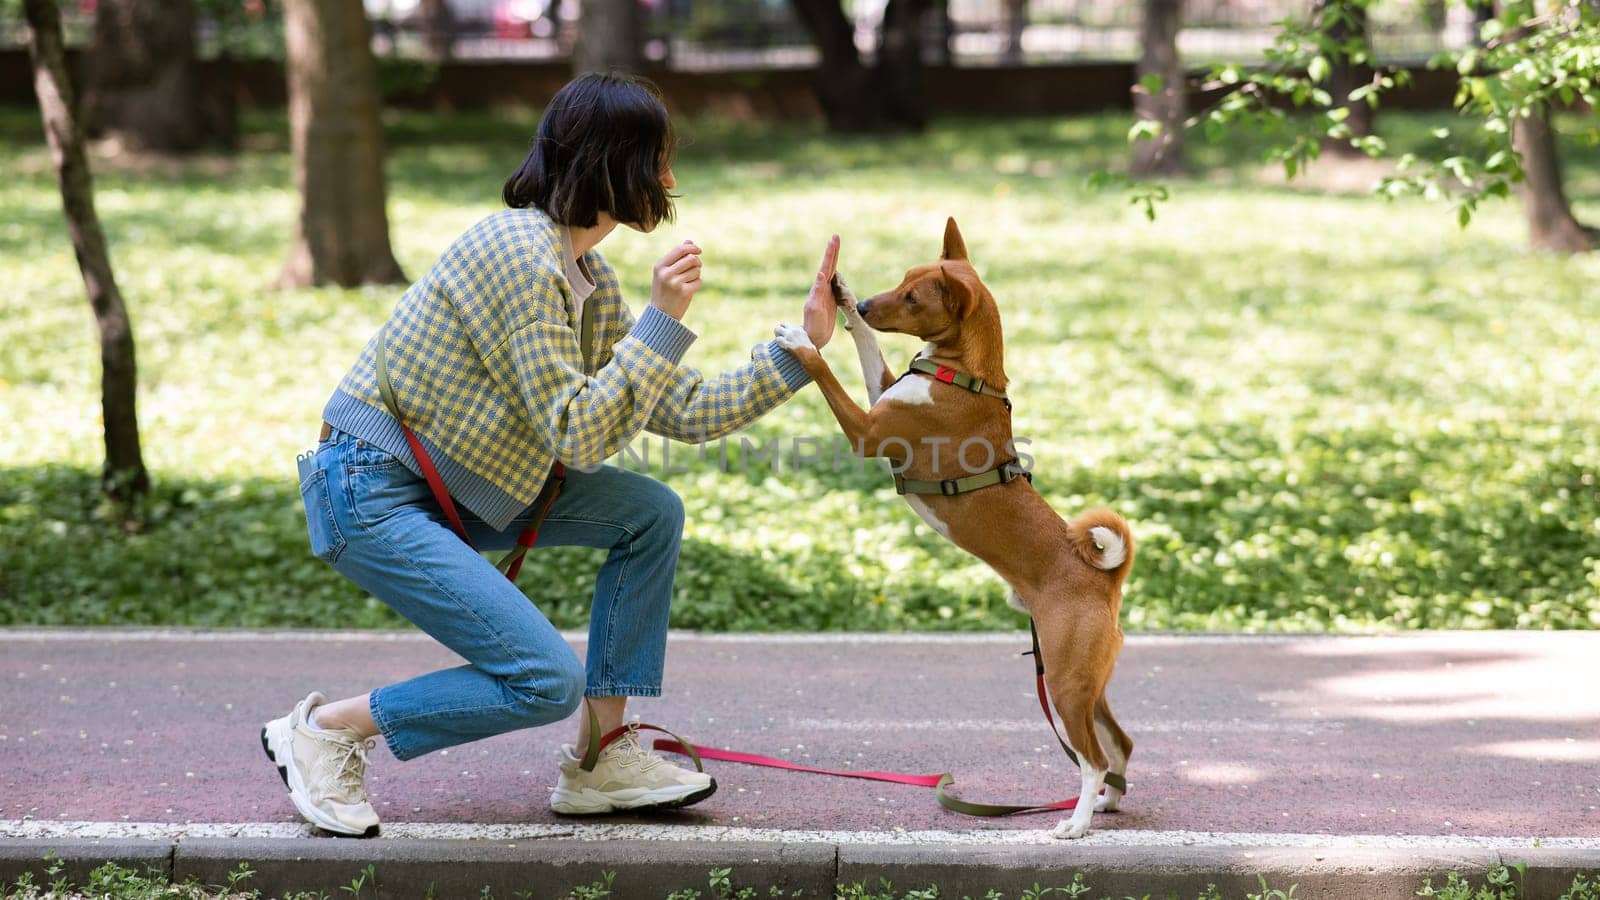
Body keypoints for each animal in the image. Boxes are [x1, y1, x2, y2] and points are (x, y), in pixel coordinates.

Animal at [774, 216, 1139, 832]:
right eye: (900, 280)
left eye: (913, 298)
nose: (866, 302)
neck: (963, 374)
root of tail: (1105, 577)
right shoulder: (882, 392)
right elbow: (867, 348)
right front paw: (842, 300)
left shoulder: (868, 433)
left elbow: (825, 372)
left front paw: (802, 341)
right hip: (1088, 682)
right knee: (1121, 744)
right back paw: (1108, 804)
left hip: (1065, 684)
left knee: (1090, 757)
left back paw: (1076, 823)